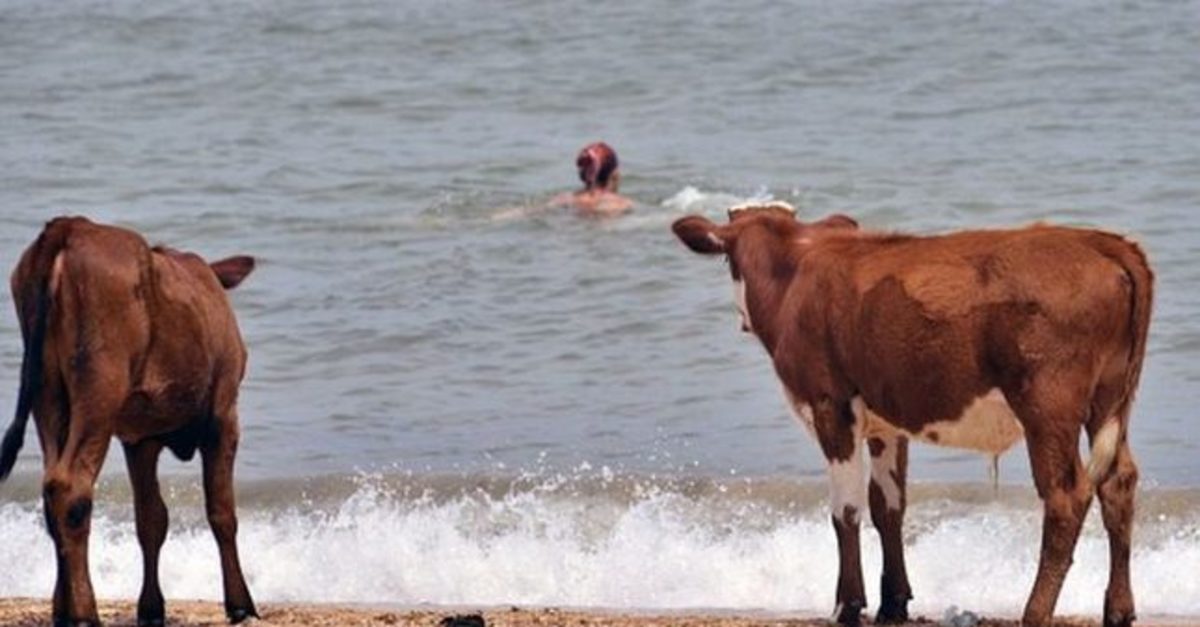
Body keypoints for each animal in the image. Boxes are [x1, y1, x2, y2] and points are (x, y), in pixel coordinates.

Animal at [0, 216, 260, 624]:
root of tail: (69, 226)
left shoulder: (139, 437)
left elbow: (151, 519)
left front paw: (151, 607)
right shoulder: (224, 414)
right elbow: (222, 512)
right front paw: (240, 603)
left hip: (48, 394)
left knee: (51, 489)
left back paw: (62, 608)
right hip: (99, 386)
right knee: (71, 487)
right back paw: (85, 612)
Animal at [676, 202, 1152, 619]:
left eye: (726, 259)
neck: (797, 272)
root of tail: (1097, 240)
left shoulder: (831, 405)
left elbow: (845, 510)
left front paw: (847, 606)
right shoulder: (885, 422)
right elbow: (888, 506)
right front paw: (893, 603)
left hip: (1047, 406)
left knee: (1066, 496)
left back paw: (1034, 612)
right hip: (1109, 398)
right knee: (1118, 483)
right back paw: (1118, 609)